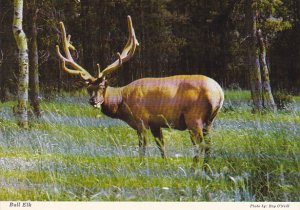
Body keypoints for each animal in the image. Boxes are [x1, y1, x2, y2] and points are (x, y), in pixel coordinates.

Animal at [56, 15, 224, 167]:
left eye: (103, 86)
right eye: (88, 88)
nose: (93, 101)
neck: (122, 102)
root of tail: (219, 93)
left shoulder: (141, 120)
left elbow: (142, 147)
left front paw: (142, 165)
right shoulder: (156, 123)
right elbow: (161, 147)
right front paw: (166, 165)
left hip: (194, 117)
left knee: (200, 145)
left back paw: (194, 169)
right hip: (209, 120)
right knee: (209, 144)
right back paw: (206, 168)